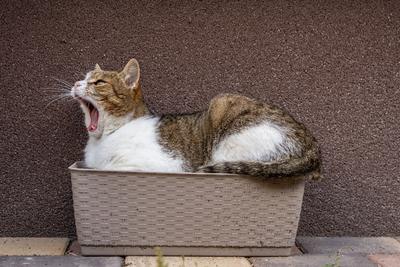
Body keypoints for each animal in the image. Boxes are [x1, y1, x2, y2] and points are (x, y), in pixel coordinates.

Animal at [71, 59, 322, 180]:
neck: (105, 137)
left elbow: (117, 166)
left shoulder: (162, 165)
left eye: (98, 82)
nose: (76, 83)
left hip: (223, 115)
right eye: (84, 78)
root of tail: (313, 147)